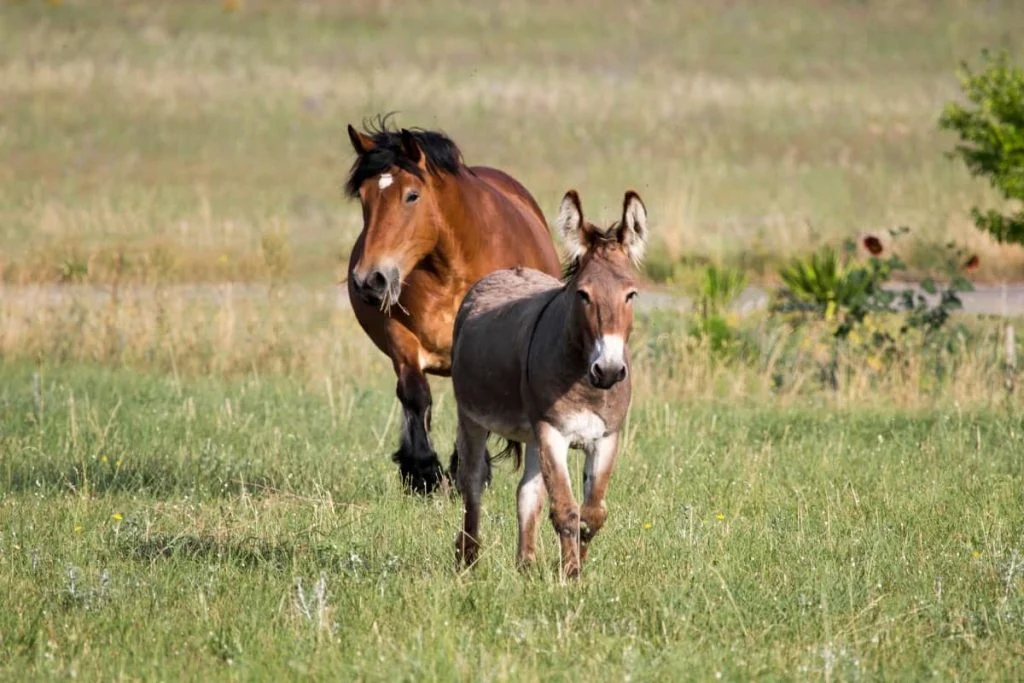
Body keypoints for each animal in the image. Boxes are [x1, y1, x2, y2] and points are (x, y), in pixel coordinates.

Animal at [344, 116, 562, 495]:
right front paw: (422, 471)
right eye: (364, 196)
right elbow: (414, 395)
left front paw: (469, 471)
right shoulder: (401, 337)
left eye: (411, 195)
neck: (451, 271)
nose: (369, 280)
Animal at [449, 189, 648, 578]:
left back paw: (525, 565)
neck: (586, 383)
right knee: (473, 483)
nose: (608, 371)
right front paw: (570, 575)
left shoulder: (607, 437)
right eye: (583, 295)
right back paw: (469, 559)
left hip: (531, 436)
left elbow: (592, 513)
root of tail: (507, 271)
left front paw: (576, 567)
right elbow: (567, 510)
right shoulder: (552, 431)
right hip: (472, 418)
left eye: (631, 294)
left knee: (527, 493)